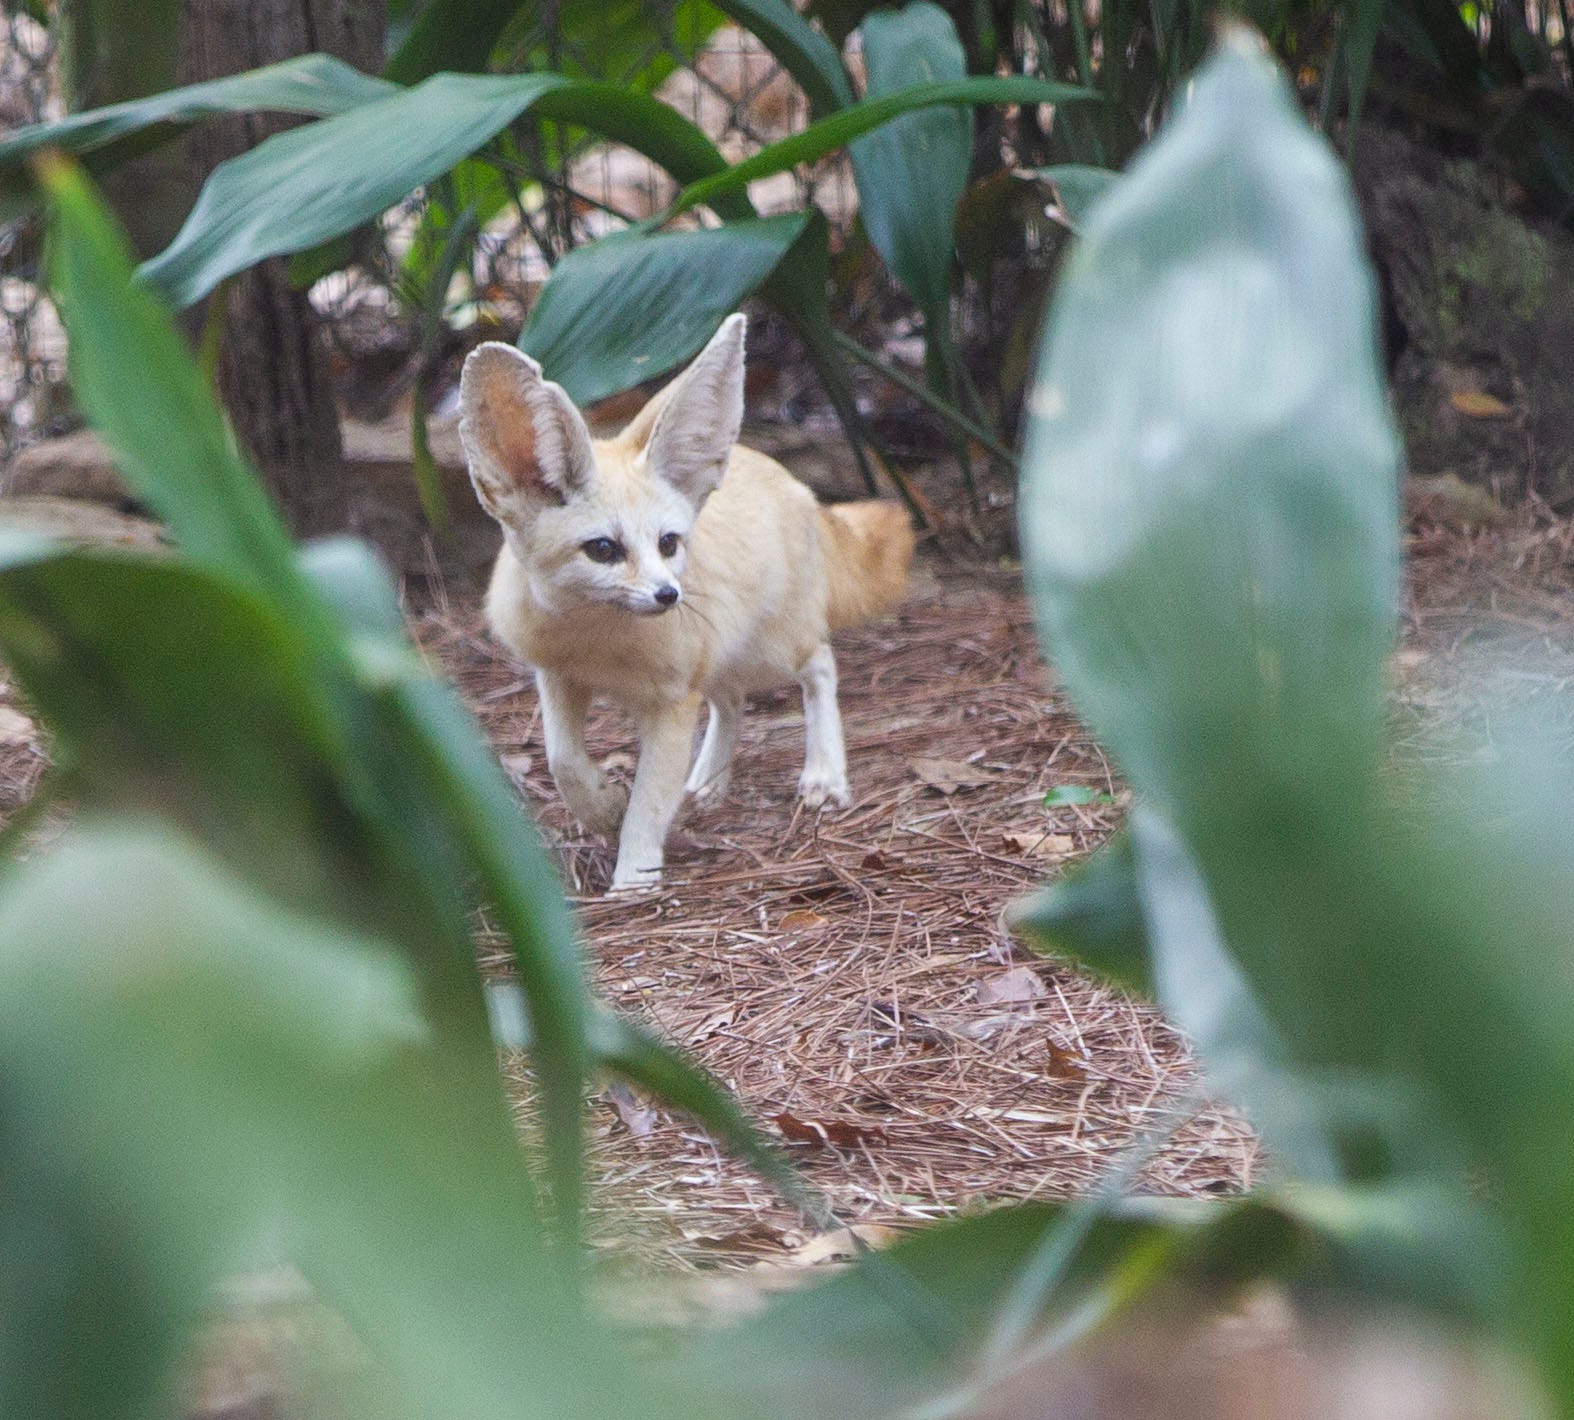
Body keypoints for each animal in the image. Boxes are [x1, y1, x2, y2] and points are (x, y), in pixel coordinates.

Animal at [458, 313, 915, 892]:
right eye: (603, 549)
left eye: (668, 543)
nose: (668, 595)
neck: (598, 646)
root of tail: (792, 481)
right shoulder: (558, 676)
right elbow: (564, 762)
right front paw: (603, 807)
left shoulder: (671, 703)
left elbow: (650, 803)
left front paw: (634, 876)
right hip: (721, 655)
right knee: (732, 701)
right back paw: (710, 781)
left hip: (772, 650)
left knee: (821, 666)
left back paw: (825, 774)